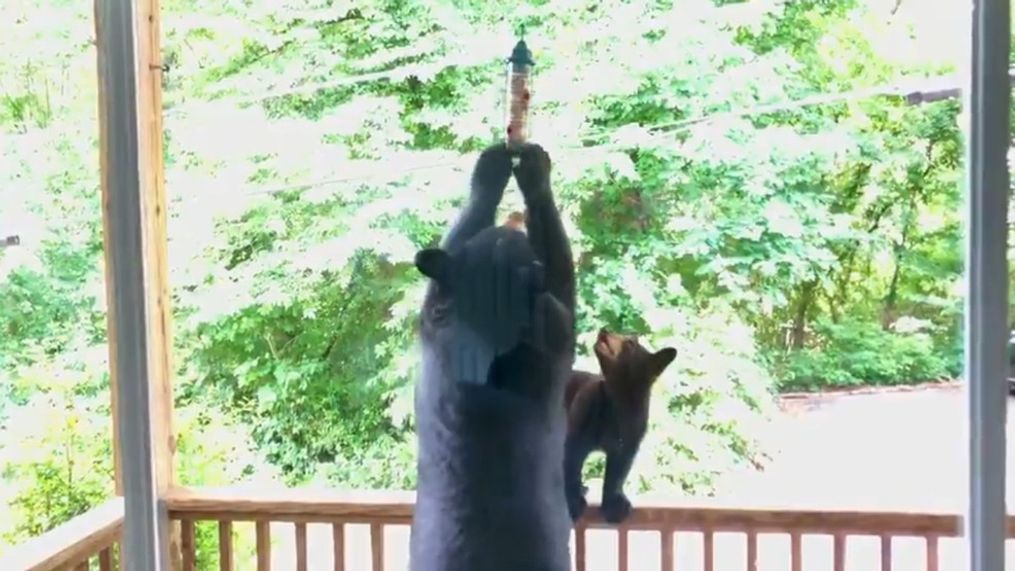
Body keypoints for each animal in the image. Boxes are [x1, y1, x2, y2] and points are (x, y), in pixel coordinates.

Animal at [406, 144, 580, 571]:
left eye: (498, 235)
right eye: (521, 245)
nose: (514, 221)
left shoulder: (433, 313)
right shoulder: (556, 329)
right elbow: (562, 276)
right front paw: (533, 176)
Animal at [564, 328, 673, 523]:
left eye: (630, 342)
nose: (604, 329)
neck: (618, 401)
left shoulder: (628, 443)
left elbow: (617, 474)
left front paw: (614, 505)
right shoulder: (577, 432)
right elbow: (572, 465)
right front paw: (573, 501)